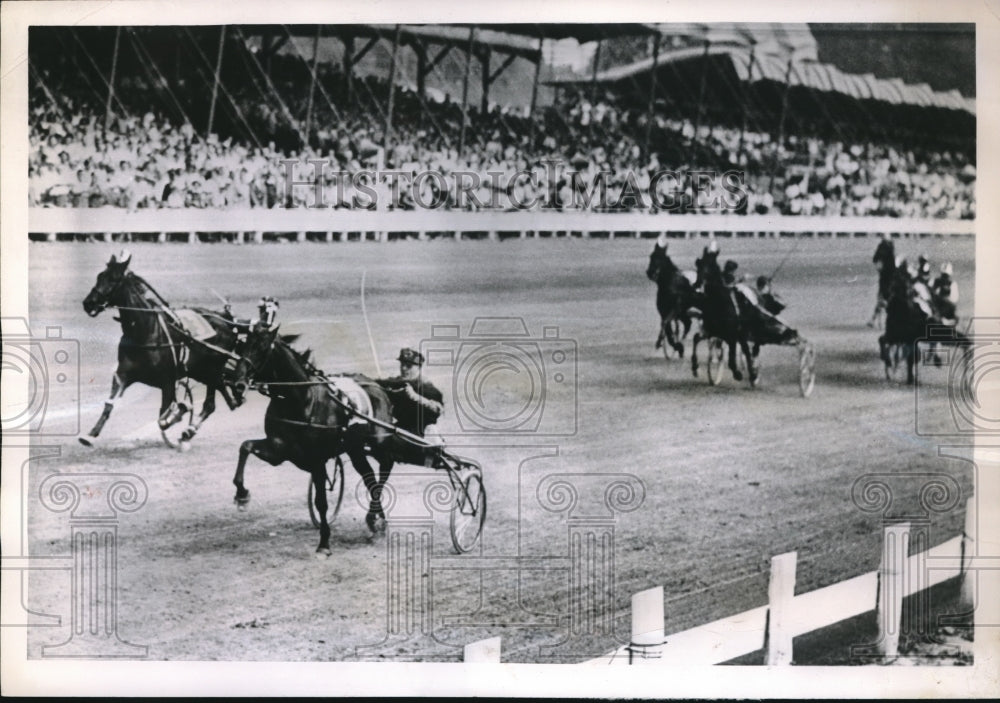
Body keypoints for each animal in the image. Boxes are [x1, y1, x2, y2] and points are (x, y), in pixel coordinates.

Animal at [80, 254, 248, 452]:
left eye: (113, 279)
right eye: (99, 276)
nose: (88, 303)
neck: (144, 332)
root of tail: (226, 321)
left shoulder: (167, 381)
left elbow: (163, 418)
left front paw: (179, 412)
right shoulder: (123, 375)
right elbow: (109, 403)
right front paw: (90, 435)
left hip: (211, 370)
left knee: (210, 404)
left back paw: (189, 430)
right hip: (200, 372)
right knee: (218, 398)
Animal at [692, 250, 752, 388]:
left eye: (710, 267)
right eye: (698, 267)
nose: (697, 284)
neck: (718, 303)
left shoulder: (731, 336)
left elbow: (731, 359)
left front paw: (737, 374)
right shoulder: (710, 331)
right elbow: (696, 338)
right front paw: (695, 367)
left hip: (740, 334)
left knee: (746, 351)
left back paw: (752, 375)